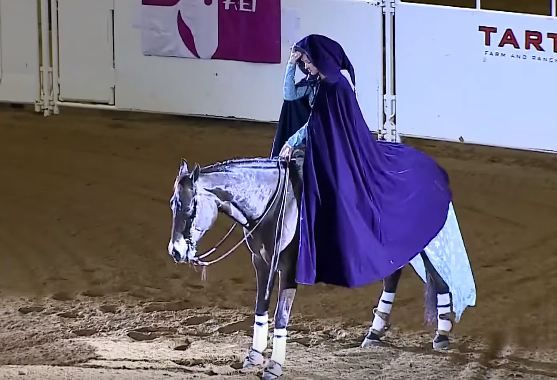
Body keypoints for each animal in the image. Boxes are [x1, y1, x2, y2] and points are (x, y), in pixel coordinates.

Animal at [167, 156, 476, 378]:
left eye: (190, 207)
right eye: (172, 205)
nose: (176, 251)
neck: (277, 205)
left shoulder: (290, 269)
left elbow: (281, 316)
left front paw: (274, 366)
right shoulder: (261, 263)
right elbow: (261, 307)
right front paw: (253, 355)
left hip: (427, 240)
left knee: (439, 276)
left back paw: (441, 336)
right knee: (394, 277)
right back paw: (374, 334)